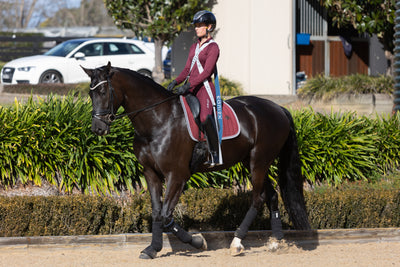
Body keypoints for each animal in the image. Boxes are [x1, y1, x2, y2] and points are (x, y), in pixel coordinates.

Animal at [83, 62, 310, 260]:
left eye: (103, 92)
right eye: (90, 93)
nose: (98, 128)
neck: (158, 120)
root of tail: (278, 108)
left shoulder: (177, 175)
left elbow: (165, 215)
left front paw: (197, 242)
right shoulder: (151, 173)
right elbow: (157, 213)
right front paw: (153, 248)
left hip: (258, 162)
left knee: (258, 198)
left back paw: (237, 242)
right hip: (254, 163)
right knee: (271, 195)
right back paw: (276, 241)